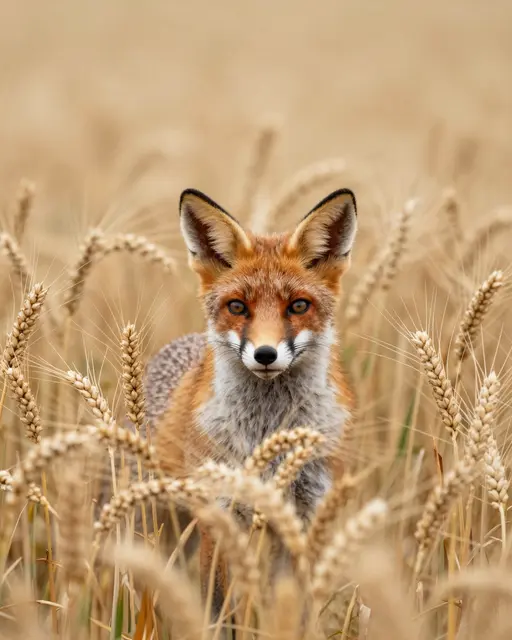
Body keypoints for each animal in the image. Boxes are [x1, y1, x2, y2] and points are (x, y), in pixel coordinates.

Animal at [144, 186, 358, 618]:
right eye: (238, 307)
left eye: (298, 305)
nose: (265, 354)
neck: (267, 432)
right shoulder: (221, 516)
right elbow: (220, 610)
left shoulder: (308, 517)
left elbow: (296, 608)